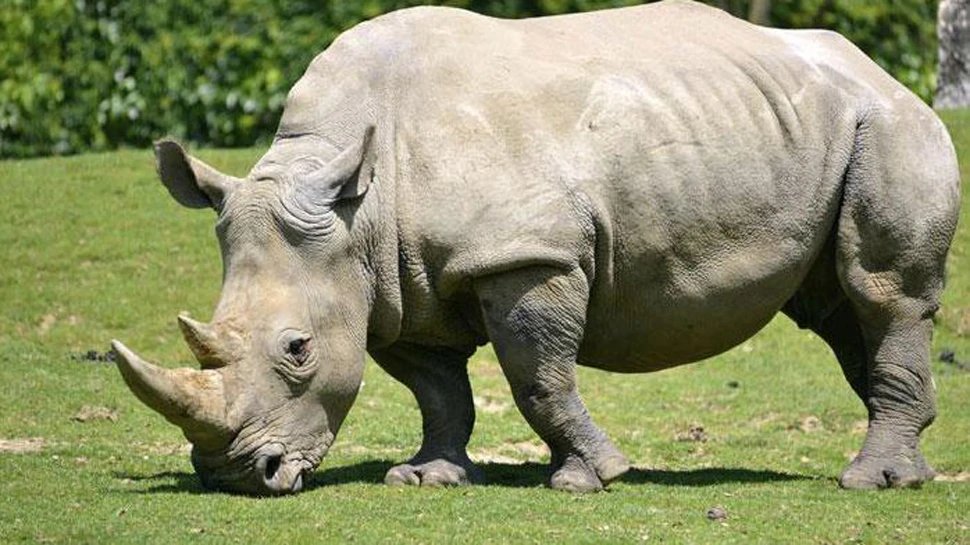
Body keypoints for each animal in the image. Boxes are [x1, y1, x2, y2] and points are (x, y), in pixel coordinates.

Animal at [111, 0, 960, 495]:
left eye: (297, 349)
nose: (233, 475)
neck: (359, 204)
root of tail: (886, 73)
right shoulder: (395, 281)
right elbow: (438, 388)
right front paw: (427, 477)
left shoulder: (526, 253)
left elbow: (538, 377)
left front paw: (589, 479)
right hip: (810, 127)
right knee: (838, 310)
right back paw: (904, 470)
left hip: (889, 126)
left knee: (880, 291)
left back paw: (871, 482)